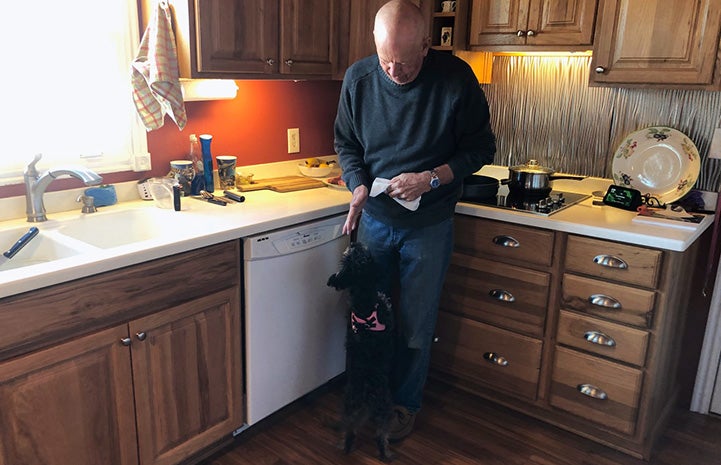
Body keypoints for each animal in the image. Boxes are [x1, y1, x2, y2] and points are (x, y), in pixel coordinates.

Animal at [326, 241, 394, 458]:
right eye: (358, 254)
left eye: (352, 257)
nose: (355, 242)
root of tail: (366, 391)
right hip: (384, 405)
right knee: (378, 434)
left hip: (356, 404)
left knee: (354, 430)